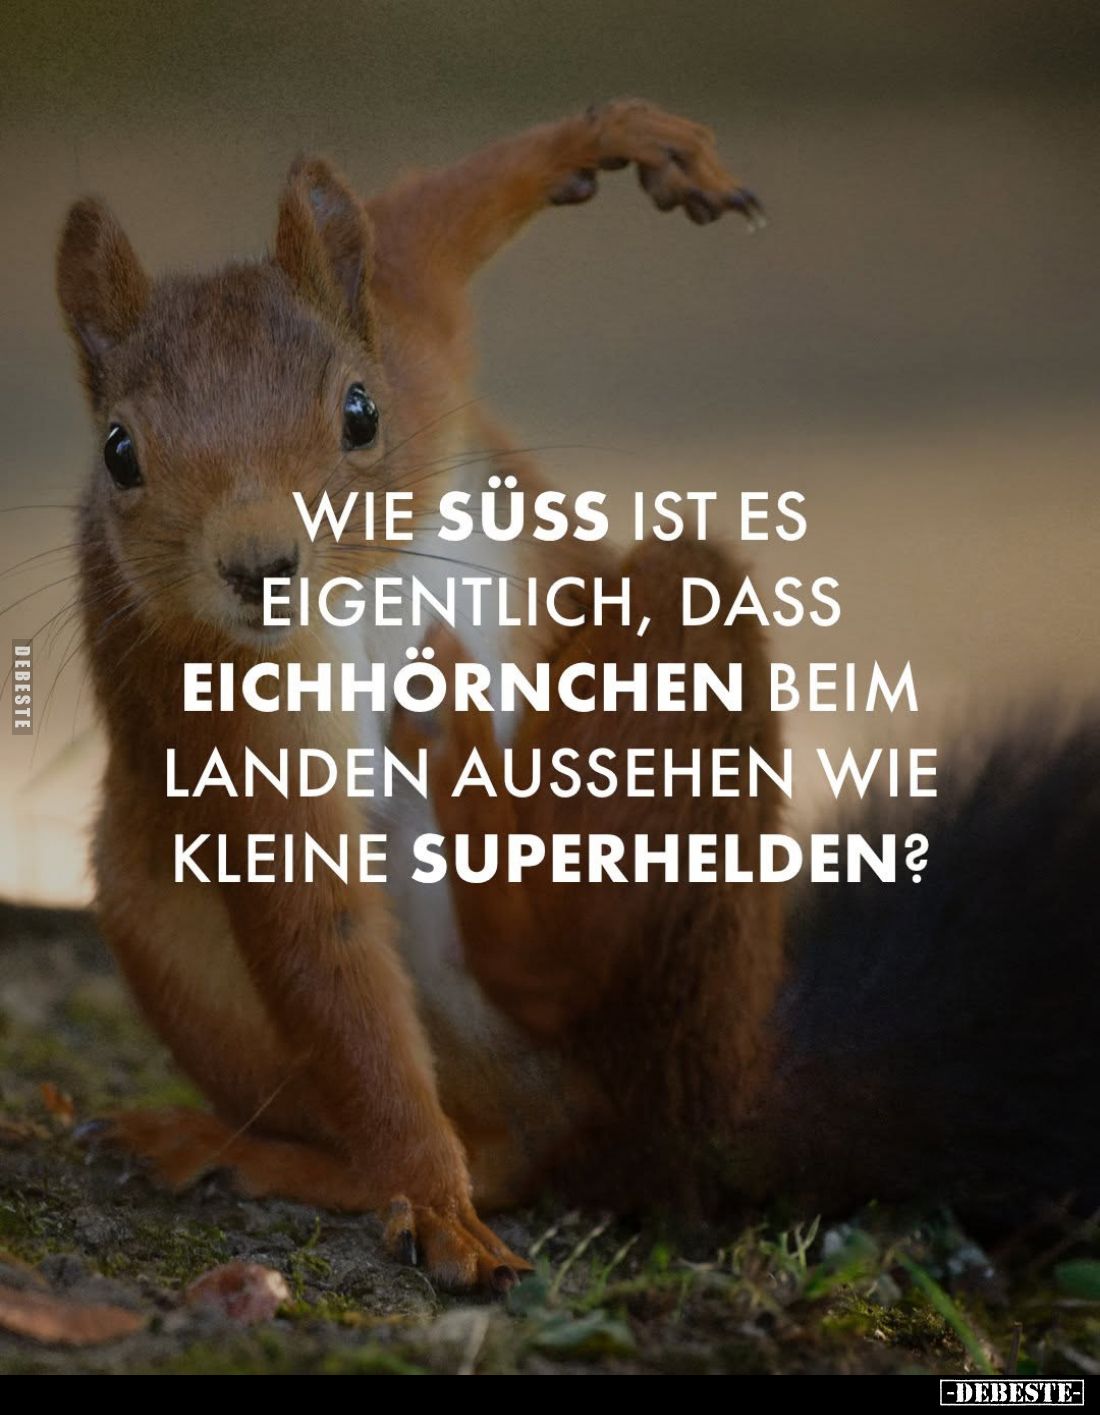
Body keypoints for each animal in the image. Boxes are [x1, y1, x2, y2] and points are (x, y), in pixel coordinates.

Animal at [54, 101, 1099, 1291]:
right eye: (120, 451)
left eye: (361, 413)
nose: (260, 565)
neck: (357, 590)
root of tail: (707, 1103)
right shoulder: (227, 715)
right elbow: (323, 949)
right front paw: (430, 1198)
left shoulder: (417, 345)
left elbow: (430, 222)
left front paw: (615, 142)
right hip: (156, 896)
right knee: (508, 1132)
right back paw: (276, 1145)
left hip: (675, 709)